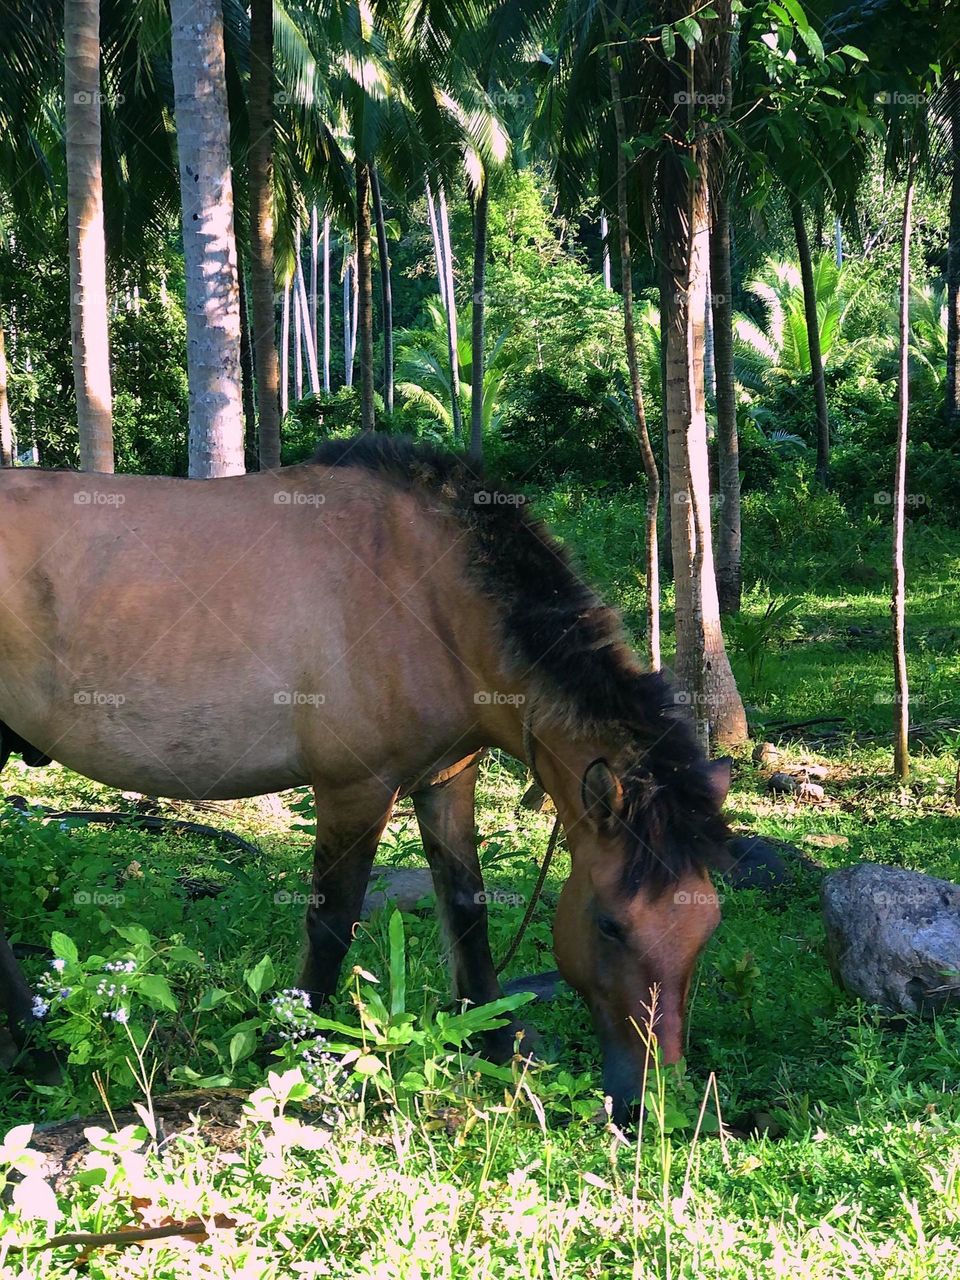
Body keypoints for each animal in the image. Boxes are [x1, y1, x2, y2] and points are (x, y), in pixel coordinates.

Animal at [0, 434, 730, 1118]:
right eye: (609, 925)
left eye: (707, 928)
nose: (646, 1103)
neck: (429, 596)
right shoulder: (355, 789)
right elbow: (332, 921)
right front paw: (291, 1051)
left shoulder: (446, 780)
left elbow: (467, 911)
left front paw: (494, 1049)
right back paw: (34, 1054)